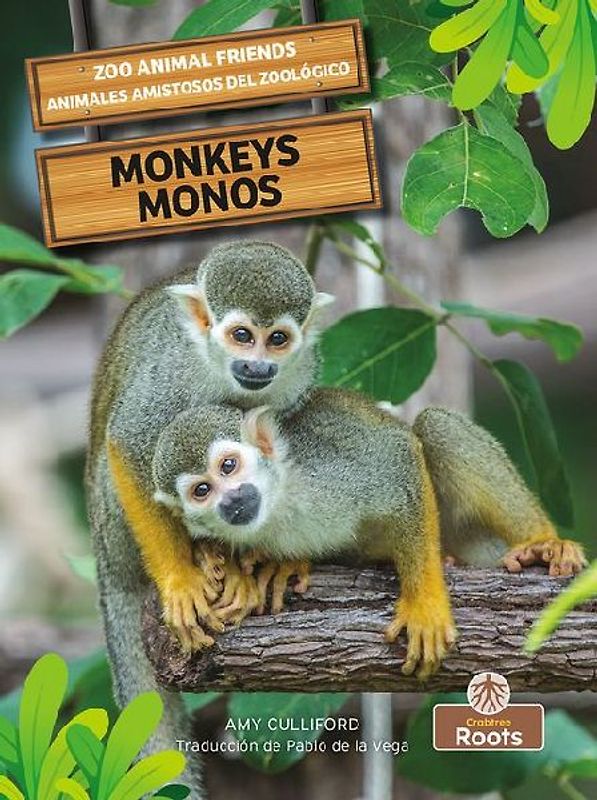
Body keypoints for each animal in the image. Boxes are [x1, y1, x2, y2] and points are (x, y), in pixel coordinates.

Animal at [86, 242, 333, 789]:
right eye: (241, 335)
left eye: (277, 339)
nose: (257, 366)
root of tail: (105, 565)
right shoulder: (171, 371)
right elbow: (128, 443)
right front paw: (179, 579)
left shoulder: (299, 373)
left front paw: (271, 560)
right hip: (113, 528)